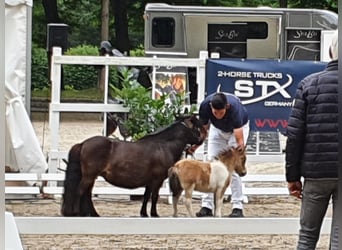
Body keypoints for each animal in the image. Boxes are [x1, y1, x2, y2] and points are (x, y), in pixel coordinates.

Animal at [61, 115, 206, 217]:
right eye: (195, 127)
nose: (200, 139)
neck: (163, 146)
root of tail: (83, 144)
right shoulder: (157, 180)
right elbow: (154, 196)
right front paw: (154, 214)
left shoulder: (150, 181)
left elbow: (146, 196)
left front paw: (144, 213)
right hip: (89, 176)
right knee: (80, 191)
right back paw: (76, 212)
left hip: (91, 177)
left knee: (87, 194)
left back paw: (93, 214)